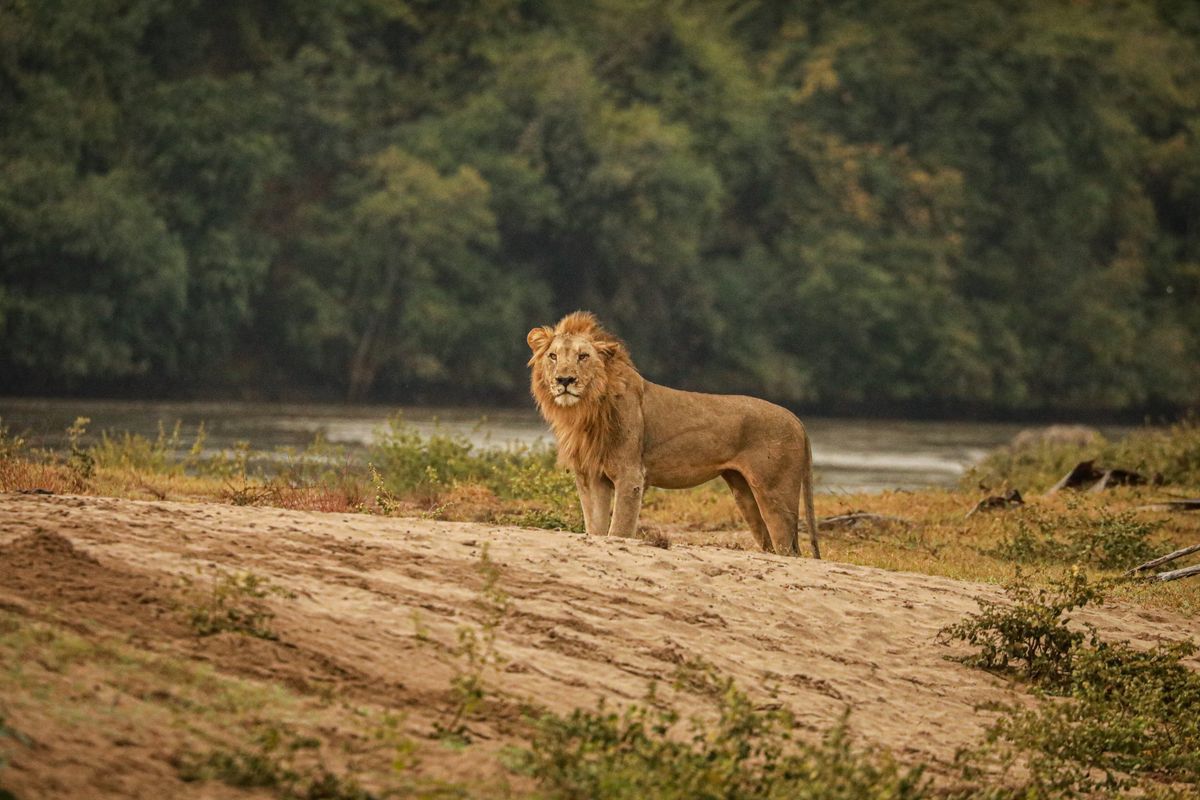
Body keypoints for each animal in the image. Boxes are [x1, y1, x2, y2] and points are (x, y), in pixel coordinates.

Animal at [526, 311, 820, 558]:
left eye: (583, 356)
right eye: (553, 356)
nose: (565, 380)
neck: (585, 410)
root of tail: (796, 418)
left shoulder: (630, 476)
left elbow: (618, 530)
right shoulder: (592, 476)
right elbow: (595, 528)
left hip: (775, 493)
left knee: (789, 550)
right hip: (744, 492)